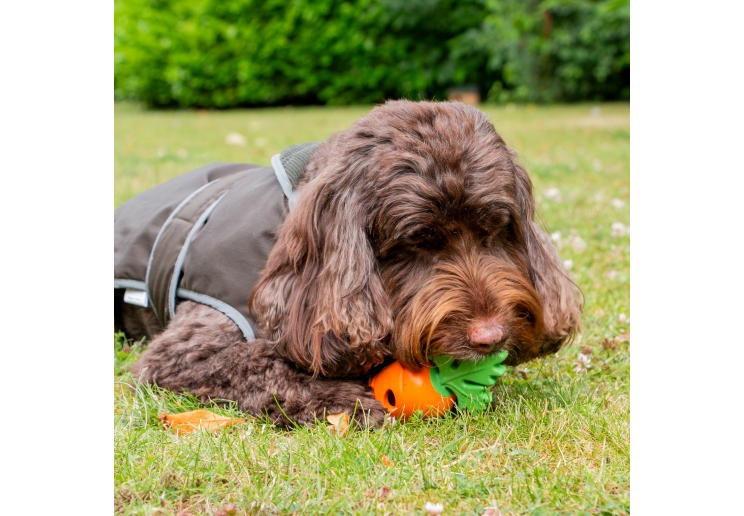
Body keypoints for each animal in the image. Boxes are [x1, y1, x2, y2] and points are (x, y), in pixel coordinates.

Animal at [117, 100, 580, 428]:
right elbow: (258, 365)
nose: (490, 336)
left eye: (493, 231)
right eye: (418, 241)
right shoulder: (184, 355)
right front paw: (342, 401)